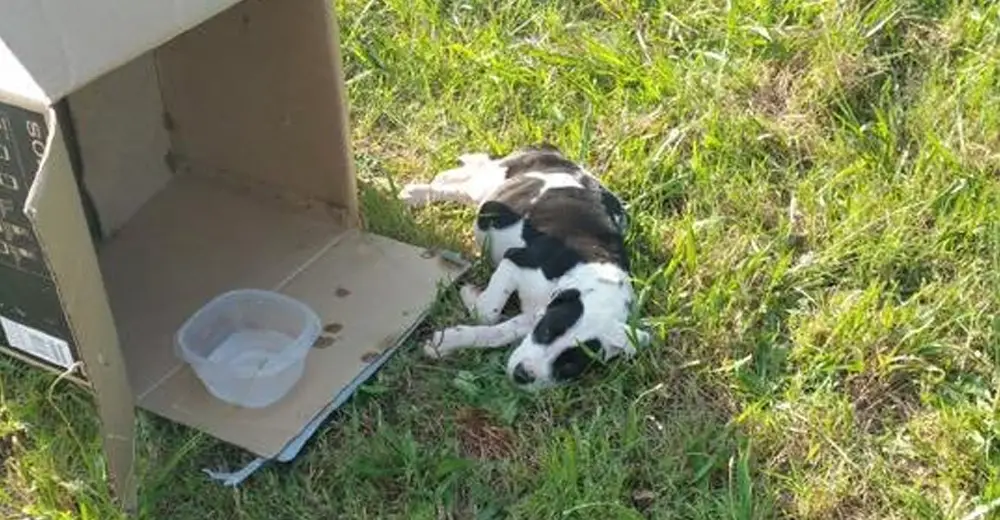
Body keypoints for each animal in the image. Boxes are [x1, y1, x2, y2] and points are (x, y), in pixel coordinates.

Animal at [402, 144, 652, 388]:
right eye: (548, 331)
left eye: (569, 366)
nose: (522, 375)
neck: (593, 272)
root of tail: (553, 152)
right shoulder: (516, 260)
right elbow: (487, 313)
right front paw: (471, 296)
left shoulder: (534, 314)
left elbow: (498, 330)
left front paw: (447, 342)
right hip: (492, 186)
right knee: (458, 183)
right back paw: (415, 193)